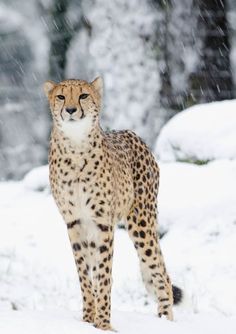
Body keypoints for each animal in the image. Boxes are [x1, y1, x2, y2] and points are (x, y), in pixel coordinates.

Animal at [43, 77, 181, 330]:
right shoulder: (75, 223)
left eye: (83, 95)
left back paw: (165, 321)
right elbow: (85, 276)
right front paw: (89, 319)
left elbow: (104, 275)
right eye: (61, 96)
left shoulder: (103, 223)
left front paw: (104, 324)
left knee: (161, 272)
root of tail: (132, 133)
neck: (76, 147)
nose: (70, 110)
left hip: (141, 223)